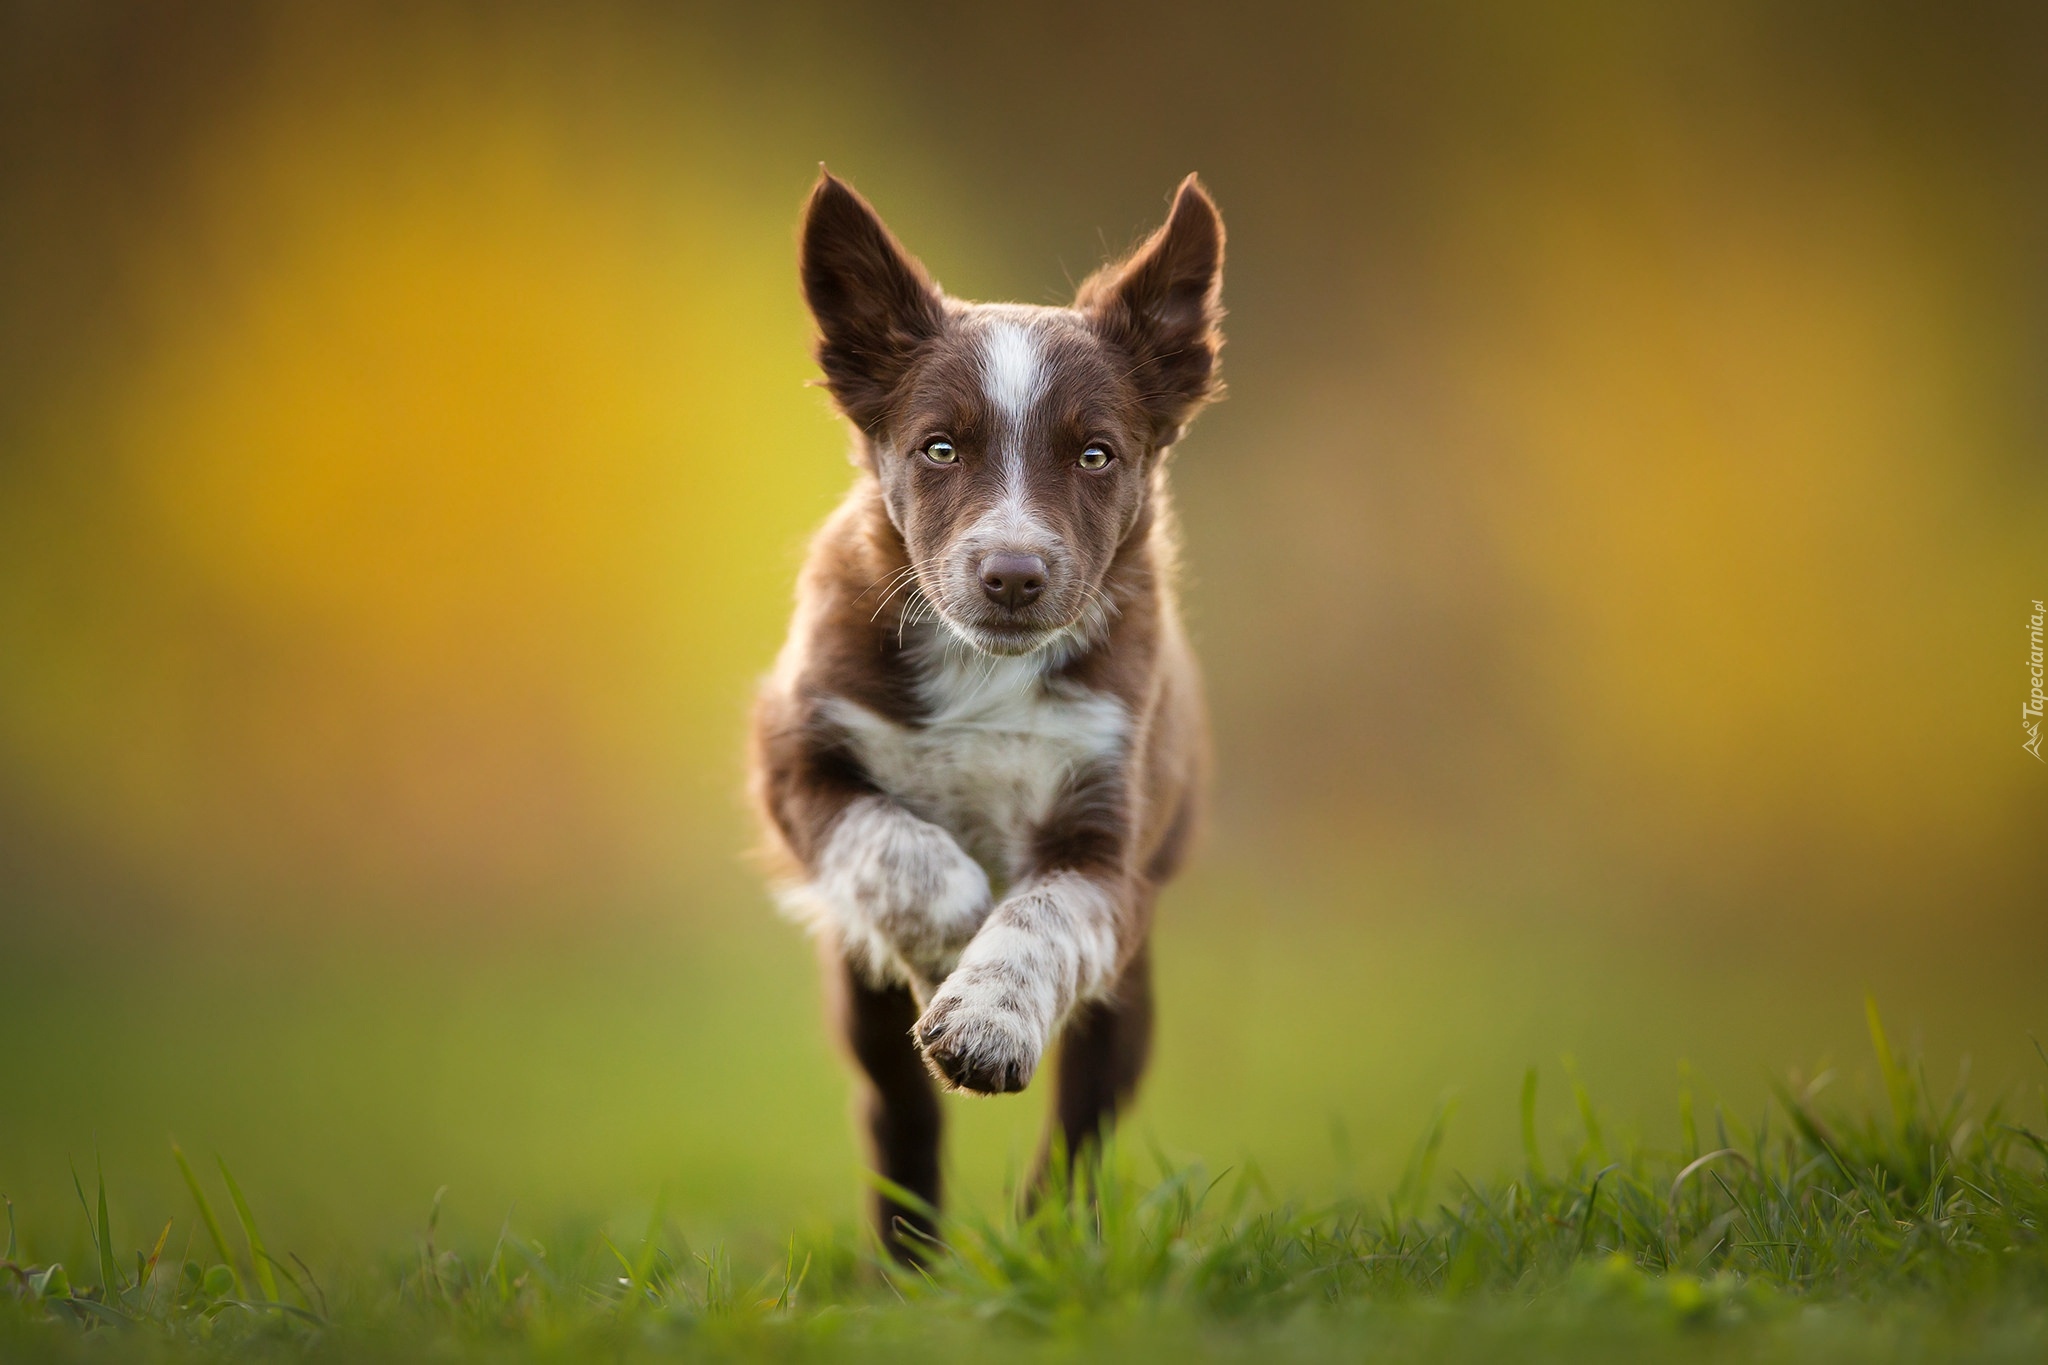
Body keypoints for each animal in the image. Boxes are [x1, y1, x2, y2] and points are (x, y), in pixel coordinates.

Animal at [749, 167, 1212, 1260]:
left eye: (1096, 456)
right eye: (939, 448)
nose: (1011, 575)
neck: (985, 666)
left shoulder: (1108, 843)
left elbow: (1040, 916)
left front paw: (984, 1017)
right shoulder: (792, 754)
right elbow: (892, 842)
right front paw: (953, 933)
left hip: (1127, 994)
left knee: (1084, 1121)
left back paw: (1051, 1241)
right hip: (861, 1003)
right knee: (896, 1110)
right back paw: (907, 1265)